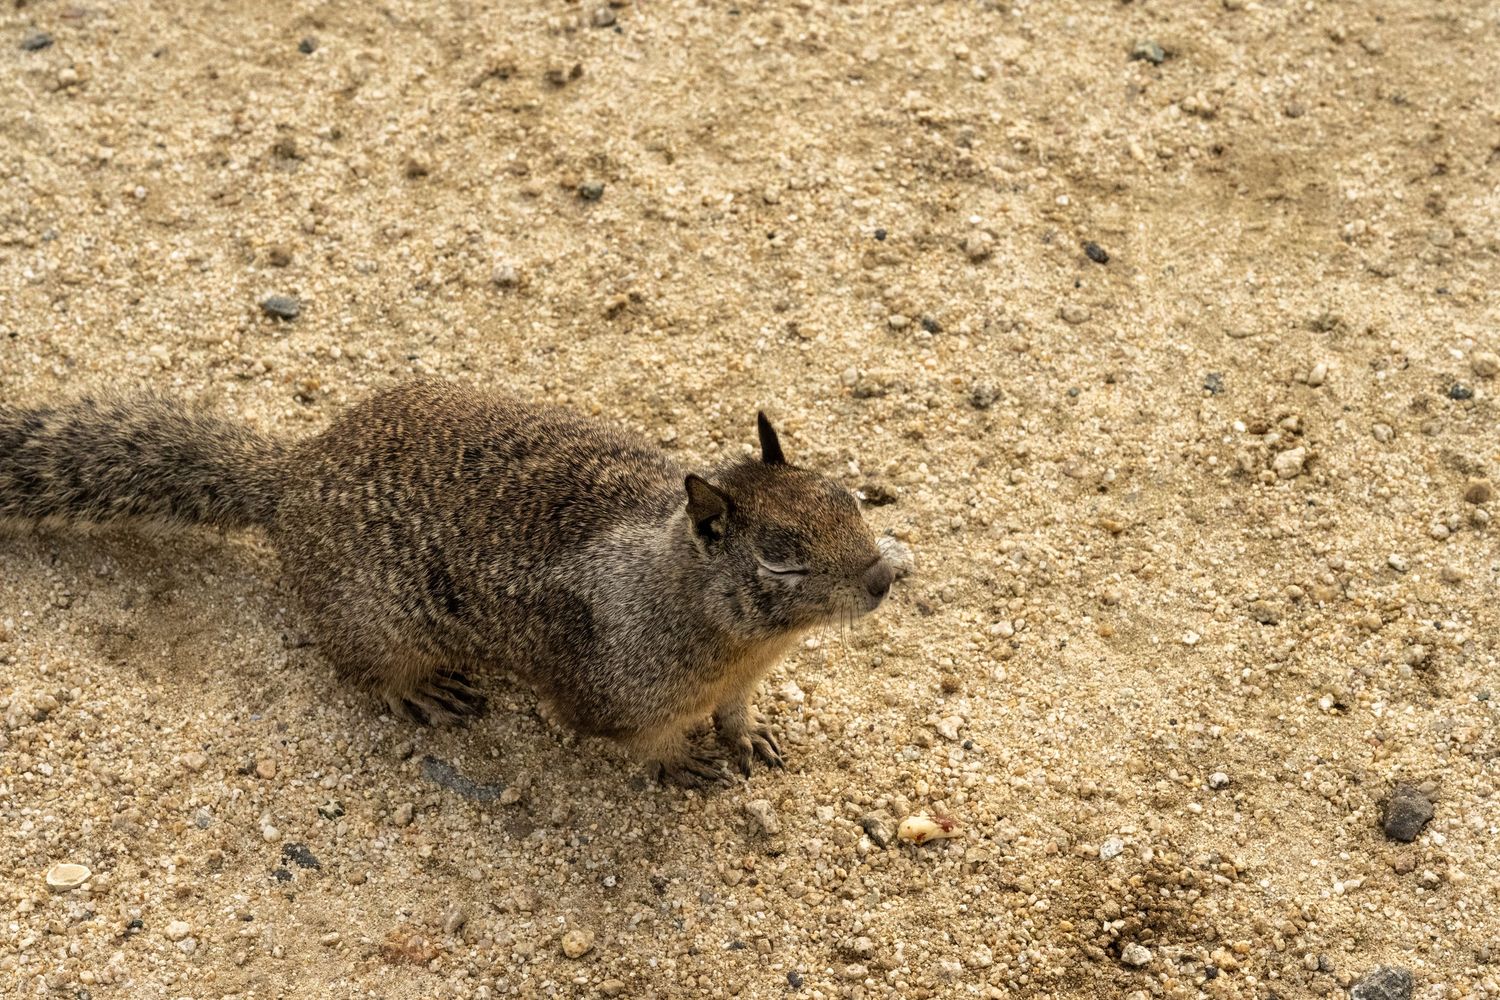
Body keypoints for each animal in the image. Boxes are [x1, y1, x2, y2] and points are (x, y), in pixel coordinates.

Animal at [0, 379, 904, 785]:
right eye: (779, 555)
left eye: (844, 496)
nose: (884, 576)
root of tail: (290, 479)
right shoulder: (609, 695)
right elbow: (636, 742)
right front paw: (682, 765)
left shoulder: (740, 679)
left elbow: (738, 714)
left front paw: (750, 736)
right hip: (372, 629)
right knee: (362, 674)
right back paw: (422, 691)